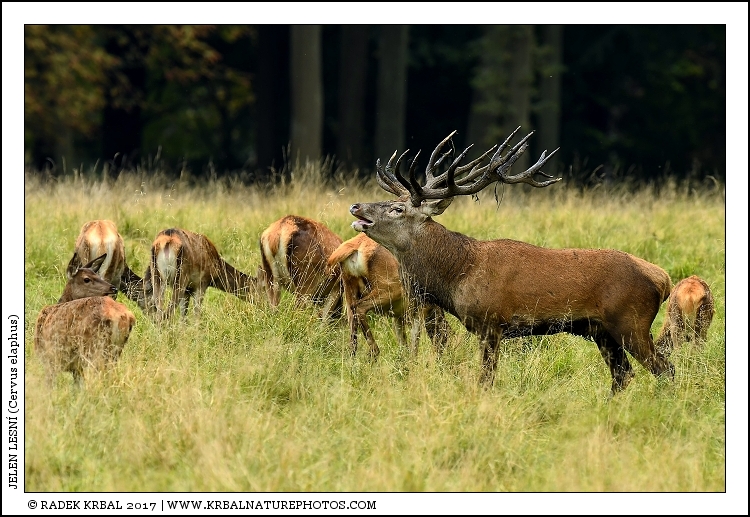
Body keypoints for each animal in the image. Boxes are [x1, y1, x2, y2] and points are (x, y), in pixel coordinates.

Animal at [35, 253, 136, 385]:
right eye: (87, 279)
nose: (113, 288)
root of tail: (121, 316)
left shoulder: (50, 358)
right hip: (115, 350)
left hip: (92, 349)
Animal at [347, 128, 675, 397]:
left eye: (397, 209)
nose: (356, 206)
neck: (457, 275)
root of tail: (664, 280)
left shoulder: (492, 322)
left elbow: (486, 380)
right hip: (602, 332)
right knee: (623, 375)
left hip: (631, 322)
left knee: (664, 368)